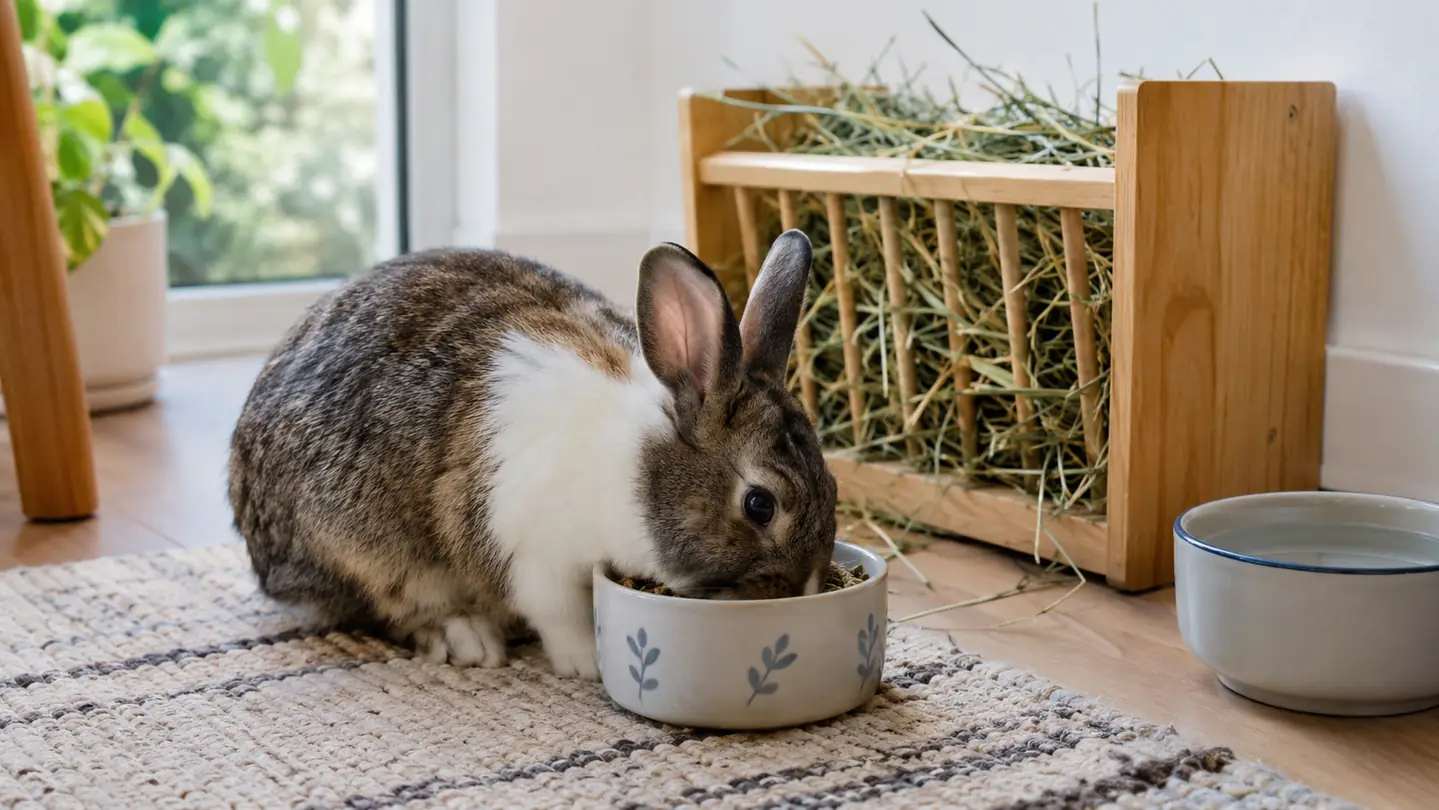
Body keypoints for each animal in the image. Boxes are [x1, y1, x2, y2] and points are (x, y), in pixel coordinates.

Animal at [228, 229, 838, 680]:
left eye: (832, 489)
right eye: (760, 505)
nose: (804, 591)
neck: (633, 467)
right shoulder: (532, 554)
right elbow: (560, 614)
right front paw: (589, 665)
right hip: (365, 555)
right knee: (386, 610)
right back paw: (467, 638)